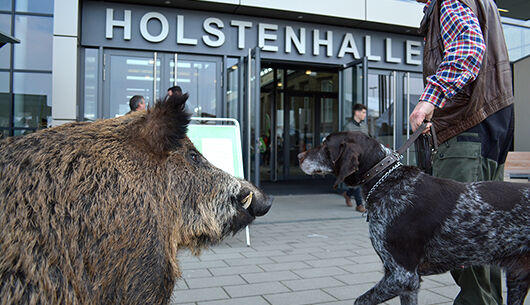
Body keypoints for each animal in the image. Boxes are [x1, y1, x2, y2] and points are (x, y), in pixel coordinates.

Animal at [294, 131, 524, 304]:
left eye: (325, 145)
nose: (298, 156)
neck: (385, 180)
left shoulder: (402, 276)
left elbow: (360, 300)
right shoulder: (407, 284)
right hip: (518, 277)